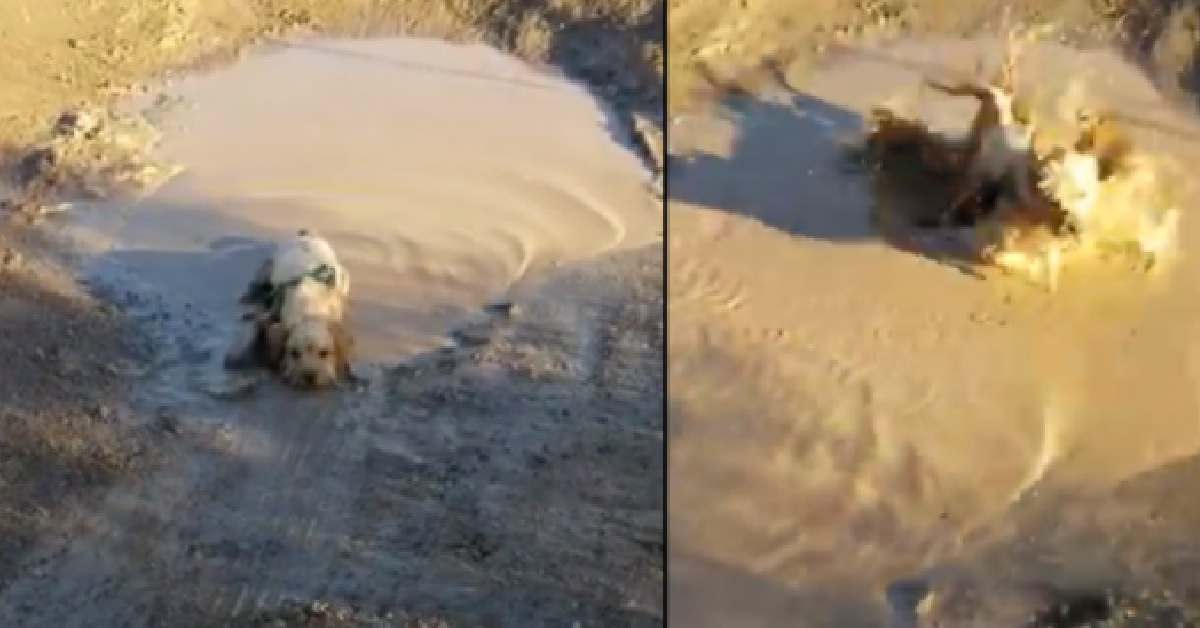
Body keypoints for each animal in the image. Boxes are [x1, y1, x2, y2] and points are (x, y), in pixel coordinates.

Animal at [225, 230, 352, 389]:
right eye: (294, 353)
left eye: (324, 353)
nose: (309, 377)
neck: (309, 309)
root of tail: (306, 233)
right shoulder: (272, 315)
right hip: (269, 268)